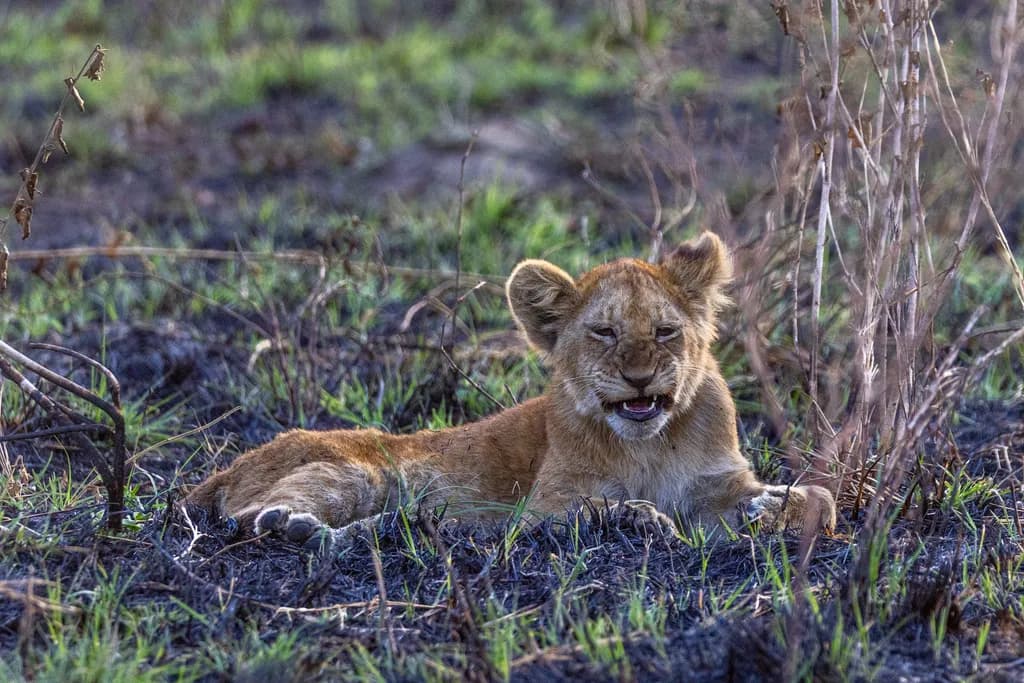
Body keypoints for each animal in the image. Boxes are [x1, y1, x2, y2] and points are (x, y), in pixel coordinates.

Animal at [184, 232, 836, 544]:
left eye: (664, 331)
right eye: (604, 332)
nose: (639, 377)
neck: (650, 444)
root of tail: (235, 463)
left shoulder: (715, 482)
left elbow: (822, 499)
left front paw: (773, 507)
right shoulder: (543, 504)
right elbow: (597, 507)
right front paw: (642, 520)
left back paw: (409, 528)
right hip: (355, 472)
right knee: (251, 514)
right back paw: (294, 526)